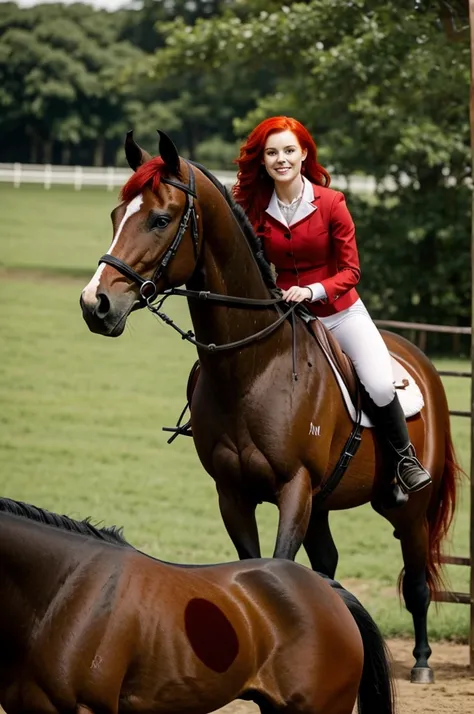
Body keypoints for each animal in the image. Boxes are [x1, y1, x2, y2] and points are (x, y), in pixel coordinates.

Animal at [79, 131, 462, 680]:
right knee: (328, 565)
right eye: (115, 214)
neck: (254, 368)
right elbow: (253, 570)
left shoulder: (293, 489)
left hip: (406, 508)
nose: (96, 304)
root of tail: (421, 362)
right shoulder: (233, 494)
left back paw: (422, 663)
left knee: (415, 583)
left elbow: (279, 568)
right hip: (325, 501)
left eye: (159, 219)